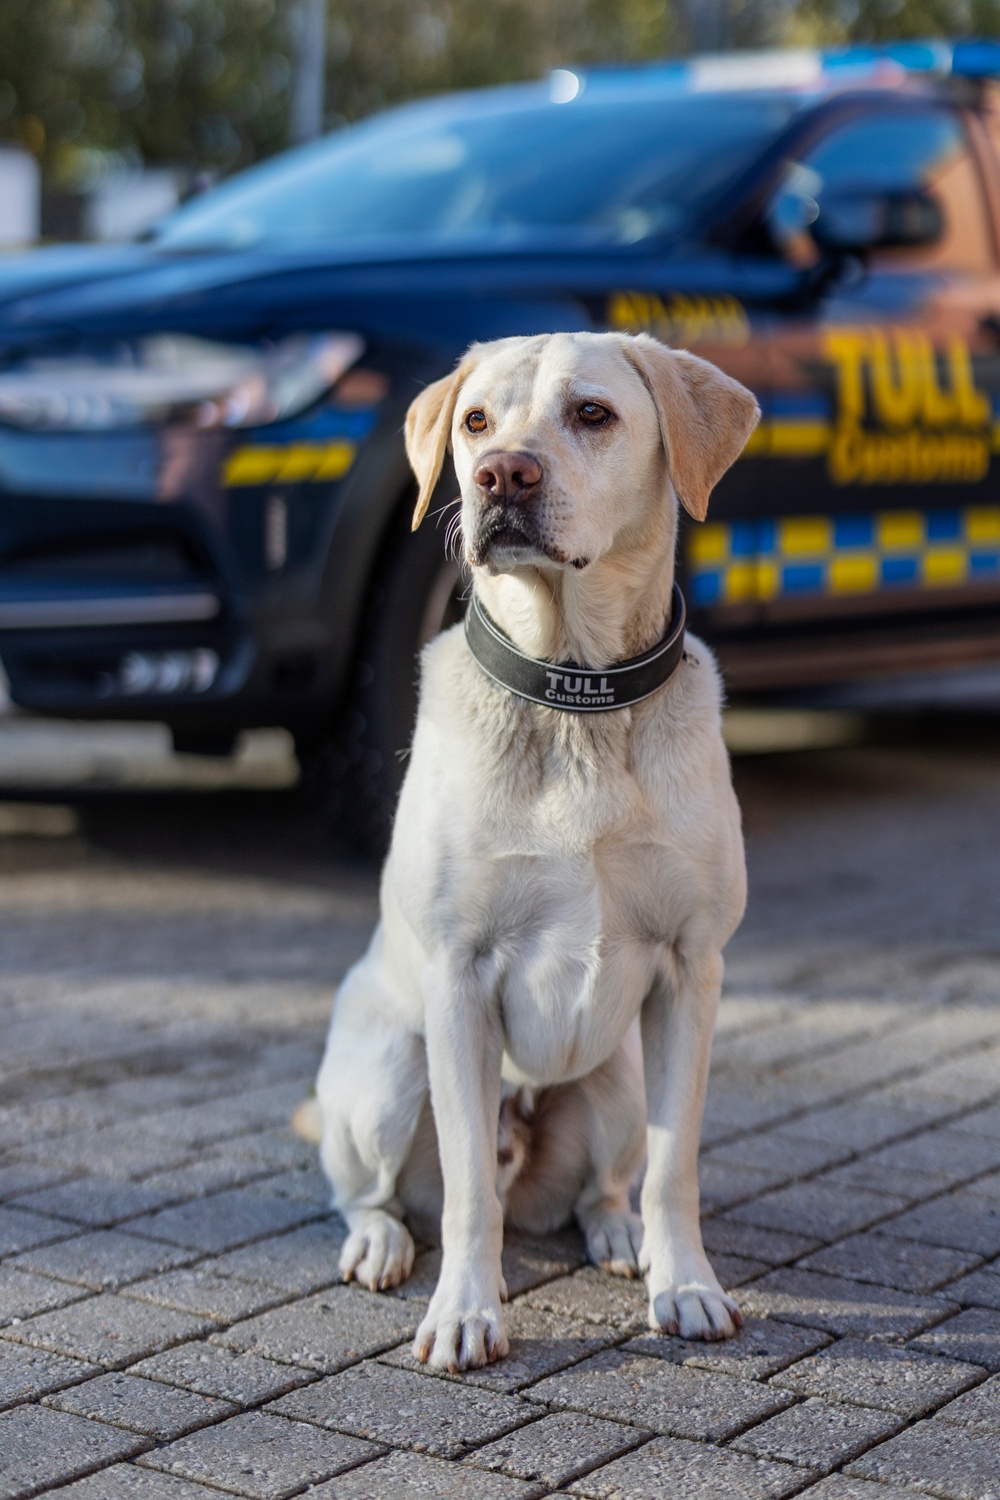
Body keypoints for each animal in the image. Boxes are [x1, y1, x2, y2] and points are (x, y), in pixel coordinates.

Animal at [313, 331, 758, 1374]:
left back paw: (621, 1234)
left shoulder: (692, 969)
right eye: (476, 421)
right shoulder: (460, 977)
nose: (500, 474)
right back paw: (379, 1242)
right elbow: (471, 1187)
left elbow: (674, 1169)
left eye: (592, 414)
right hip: (388, 1076)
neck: (574, 696)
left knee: (607, 1184)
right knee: (373, 1192)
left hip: (617, 1082)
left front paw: (686, 1285)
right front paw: (465, 1313)